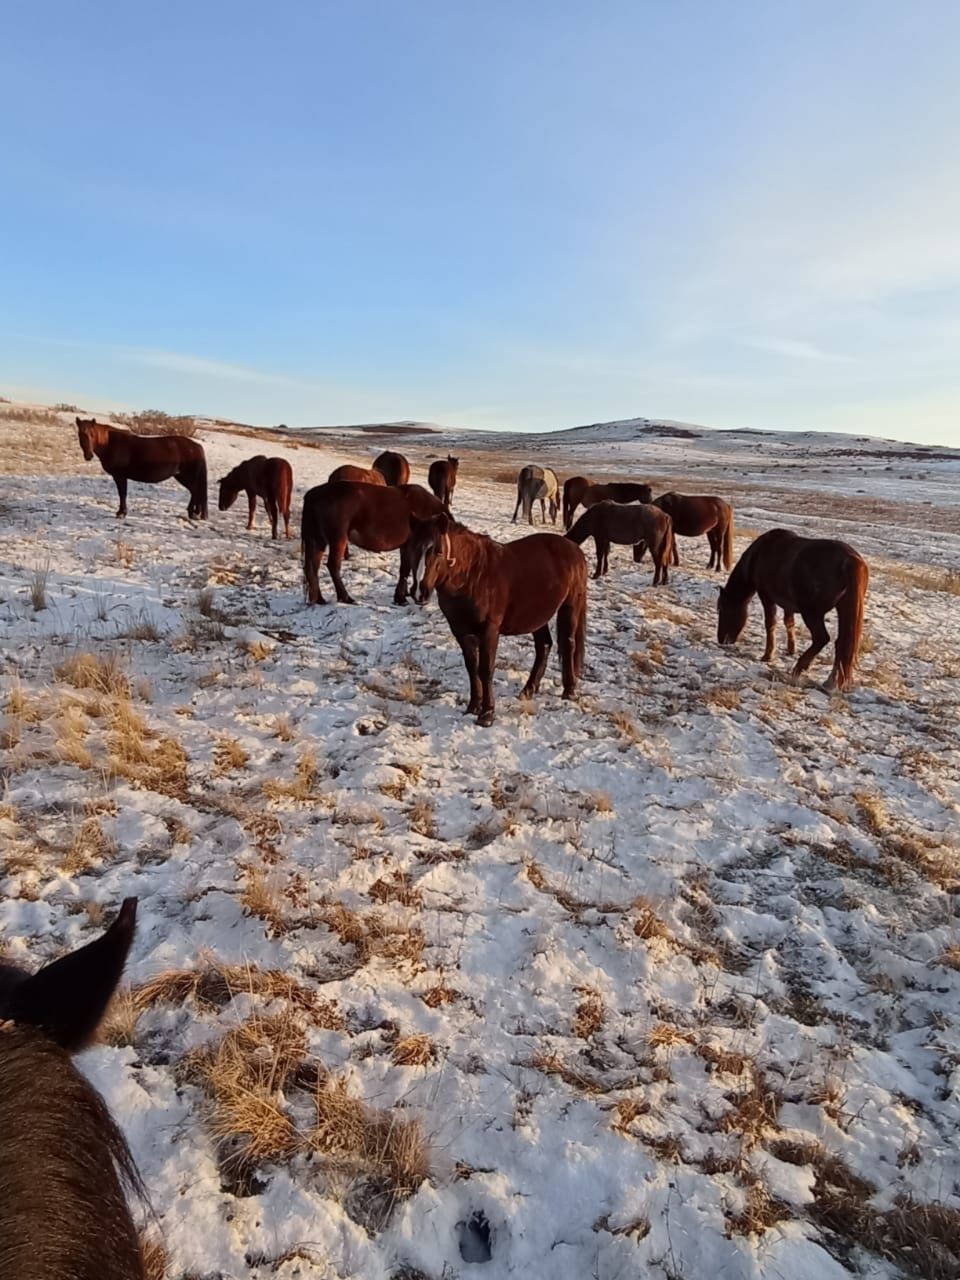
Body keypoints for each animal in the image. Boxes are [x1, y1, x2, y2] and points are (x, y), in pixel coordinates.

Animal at [76, 419, 207, 519]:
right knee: (195, 492)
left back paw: (193, 513)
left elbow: (122, 494)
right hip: (181, 476)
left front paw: (121, 513)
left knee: (195, 492)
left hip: (187, 477)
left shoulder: (120, 476)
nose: (88, 455)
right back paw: (194, 513)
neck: (110, 443)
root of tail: (197, 446)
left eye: (92, 434)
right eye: (80, 435)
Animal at [302, 481, 445, 604]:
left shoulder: (405, 547)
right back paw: (346, 597)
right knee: (333, 566)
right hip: (338, 540)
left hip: (318, 541)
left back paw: (319, 599)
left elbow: (404, 569)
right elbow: (406, 569)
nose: (423, 595)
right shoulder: (411, 546)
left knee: (312, 568)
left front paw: (401, 596)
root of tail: (314, 493)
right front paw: (401, 598)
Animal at [409, 512, 591, 732]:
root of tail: (575, 550)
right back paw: (528, 690)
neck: (473, 576)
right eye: (413, 548)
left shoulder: (489, 630)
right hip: (538, 616)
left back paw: (569, 691)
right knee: (544, 646)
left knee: (569, 644)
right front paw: (473, 706)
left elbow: (486, 669)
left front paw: (487, 714)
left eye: (438, 551)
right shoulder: (460, 631)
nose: (419, 592)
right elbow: (472, 667)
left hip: (570, 607)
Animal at [721, 527, 870, 696]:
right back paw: (830, 681)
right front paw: (791, 649)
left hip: (811, 612)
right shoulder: (787, 604)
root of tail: (850, 560)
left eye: (723, 610)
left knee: (822, 638)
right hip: (842, 609)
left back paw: (799, 668)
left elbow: (770, 623)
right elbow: (789, 622)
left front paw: (768, 655)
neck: (759, 554)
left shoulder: (766, 596)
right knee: (841, 643)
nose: (721, 639)